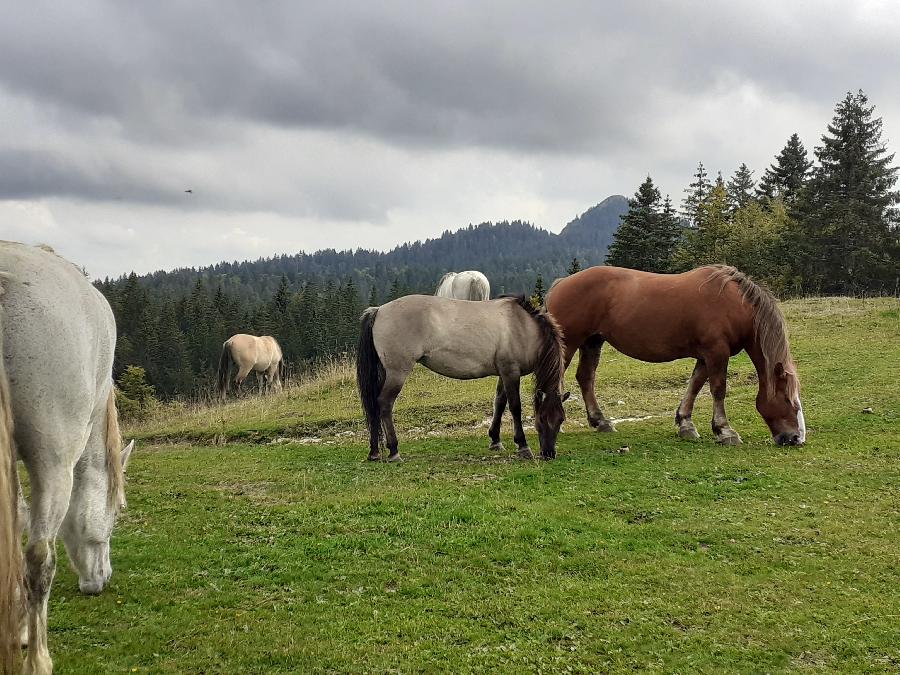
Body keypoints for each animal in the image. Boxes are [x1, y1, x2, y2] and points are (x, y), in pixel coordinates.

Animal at [356, 298, 568, 464]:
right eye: (541, 419)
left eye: (561, 420)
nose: (549, 454)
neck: (523, 327)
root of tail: (379, 310)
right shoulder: (511, 371)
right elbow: (515, 407)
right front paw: (523, 446)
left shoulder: (504, 372)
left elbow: (499, 403)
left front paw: (495, 440)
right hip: (397, 372)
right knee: (384, 404)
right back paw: (393, 451)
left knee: (374, 406)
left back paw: (374, 452)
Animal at [544, 266, 804, 448]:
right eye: (788, 399)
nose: (796, 438)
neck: (733, 303)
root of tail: (561, 283)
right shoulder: (716, 352)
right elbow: (718, 389)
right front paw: (724, 431)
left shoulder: (705, 355)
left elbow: (695, 385)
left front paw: (685, 424)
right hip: (570, 344)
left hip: (592, 341)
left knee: (586, 378)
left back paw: (600, 421)